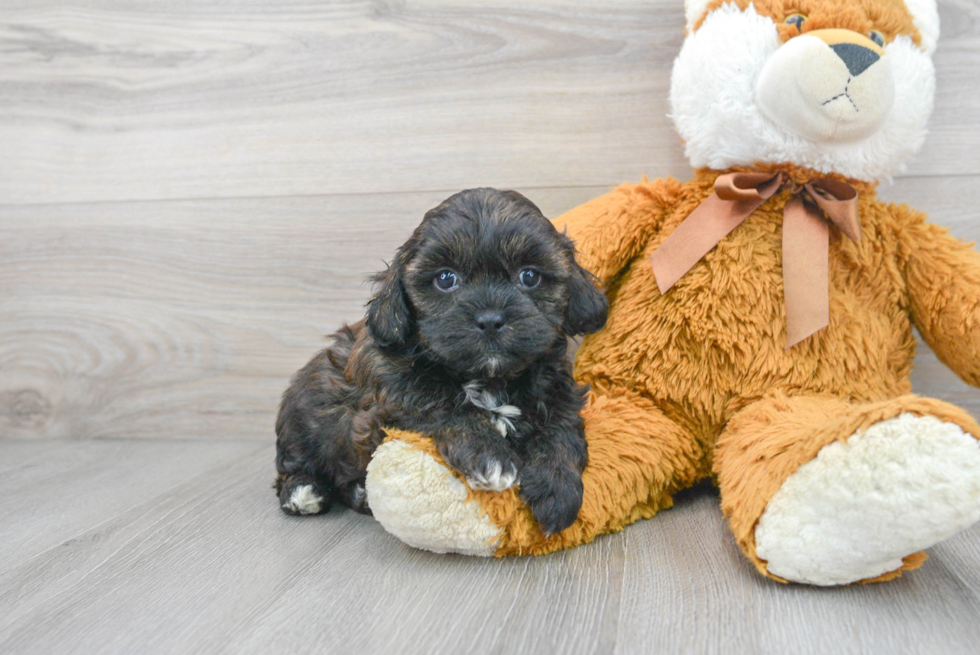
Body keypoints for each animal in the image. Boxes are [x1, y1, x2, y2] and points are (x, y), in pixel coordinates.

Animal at [276, 187, 608, 536]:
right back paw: (303, 491)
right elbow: (443, 406)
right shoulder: (387, 398)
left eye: (529, 276)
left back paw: (359, 493)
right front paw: (490, 455)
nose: (490, 319)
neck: (489, 377)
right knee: (293, 465)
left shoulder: (558, 390)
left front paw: (558, 489)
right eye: (446, 279)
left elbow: (561, 429)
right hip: (302, 419)